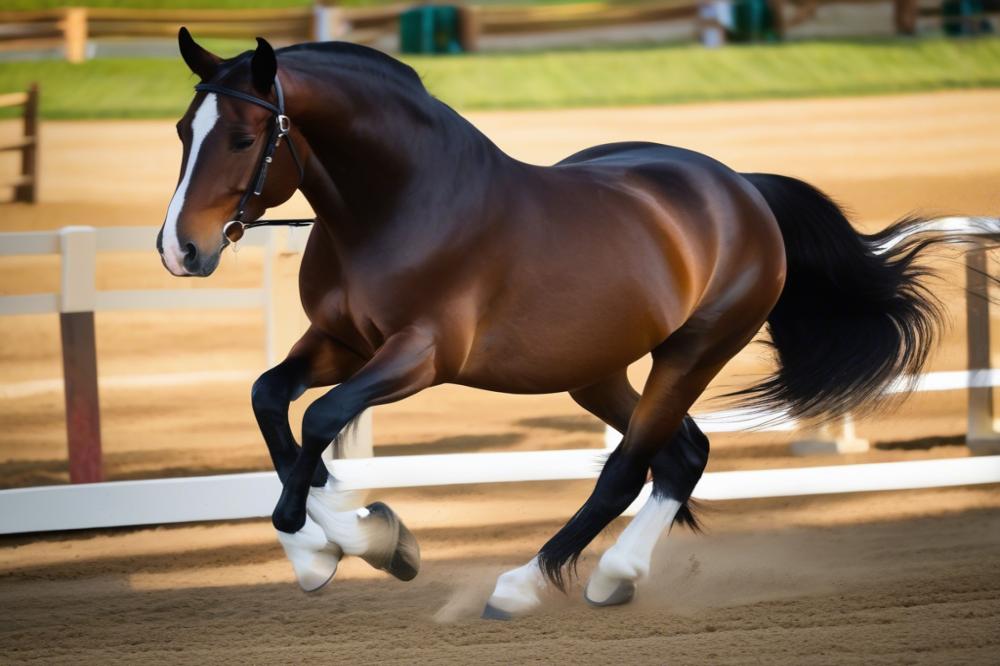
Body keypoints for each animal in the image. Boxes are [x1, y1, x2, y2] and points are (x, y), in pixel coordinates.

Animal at [158, 28, 968, 616]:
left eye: (241, 138)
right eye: (181, 130)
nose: (179, 250)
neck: (397, 206)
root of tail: (740, 187)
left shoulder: (421, 356)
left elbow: (320, 420)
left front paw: (359, 540)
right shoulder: (339, 343)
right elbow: (272, 401)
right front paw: (341, 547)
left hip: (694, 352)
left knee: (629, 467)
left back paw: (527, 584)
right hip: (595, 371)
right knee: (683, 455)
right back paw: (616, 576)